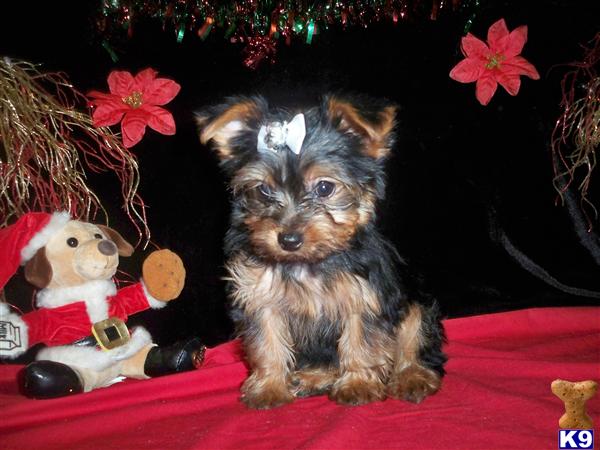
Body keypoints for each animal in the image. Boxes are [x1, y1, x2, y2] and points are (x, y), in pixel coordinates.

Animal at [197, 94, 446, 408]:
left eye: (325, 188)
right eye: (264, 190)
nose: (288, 239)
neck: (307, 261)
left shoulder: (364, 295)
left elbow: (360, 339)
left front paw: (357, 384)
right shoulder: (259, 295)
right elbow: (267, 340)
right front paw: (269, 387)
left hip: (415, 304)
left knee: (414, 335)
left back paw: (412, 375)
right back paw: (313, 377)